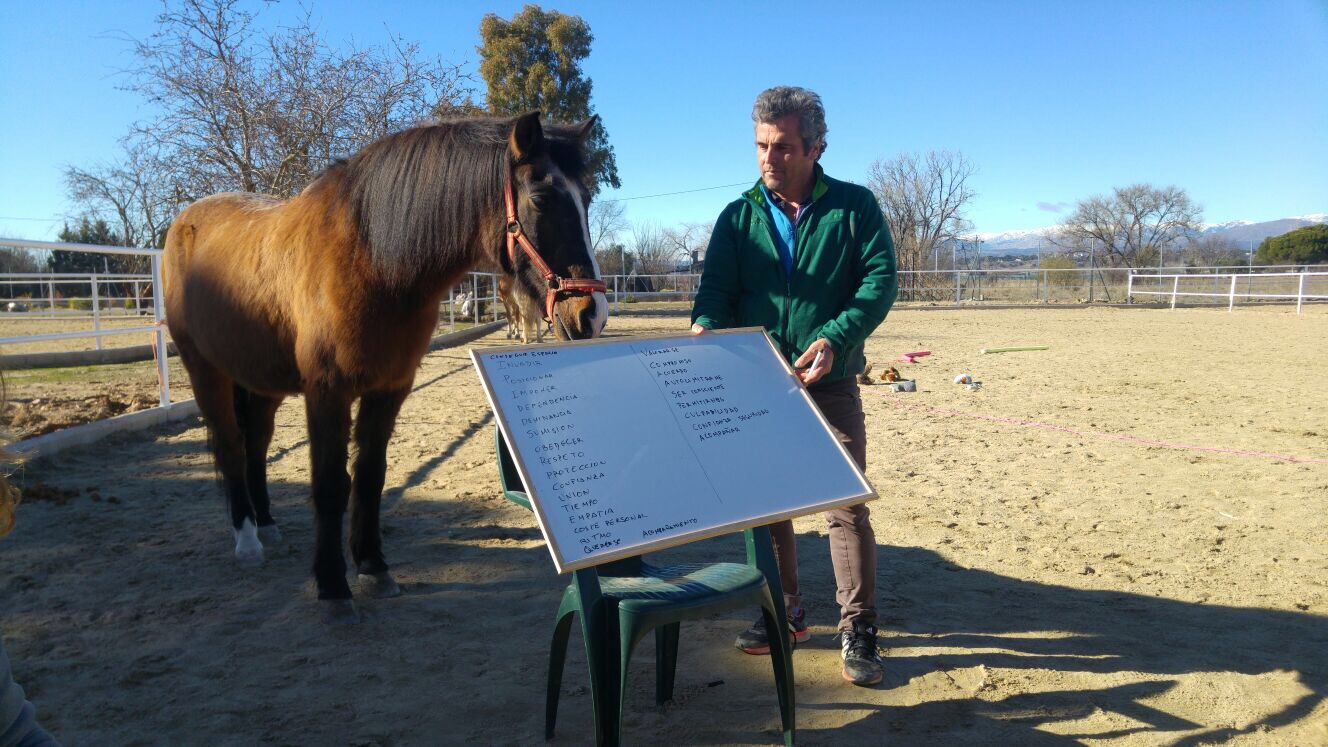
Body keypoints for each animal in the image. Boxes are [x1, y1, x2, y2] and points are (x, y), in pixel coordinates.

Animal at [163, 112, 608, 622]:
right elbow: (330, 484)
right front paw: (333, 585)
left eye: (586, 199)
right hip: (206, 372)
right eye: (540, 197)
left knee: (256, 443)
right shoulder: (327, 392)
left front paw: (373, 566)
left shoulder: (390, 387)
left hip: (261, 381)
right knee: (232, 446)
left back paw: (267, 523)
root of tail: (184, 223)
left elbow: (371, 476)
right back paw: (247, 540)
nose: (591, 314)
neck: (372, 260)